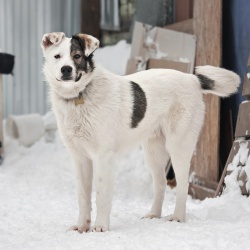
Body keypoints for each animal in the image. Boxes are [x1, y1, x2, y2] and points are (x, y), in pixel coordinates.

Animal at [41, 31, 240, 232]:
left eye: (77, 56)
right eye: (57, 56)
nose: (66, 69)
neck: (79, 96)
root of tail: (193, 79)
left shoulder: (104, 157)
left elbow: (101, 196)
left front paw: (101, 227)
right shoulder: (80, 158)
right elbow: (83, 197)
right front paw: (82, 227)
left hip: (178, 147)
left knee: (183, 184)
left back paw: (177, 217)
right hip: (153, 152)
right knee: (161, 183)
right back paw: (154, 214)